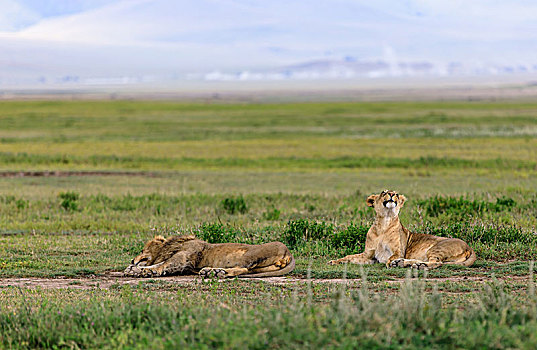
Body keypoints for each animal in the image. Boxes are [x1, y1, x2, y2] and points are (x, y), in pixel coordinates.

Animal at [124, 235, 296, 278]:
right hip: (260, 267)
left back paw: (214, 272)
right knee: (245, 271)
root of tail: (289, 252)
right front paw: (132, 268)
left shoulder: (184, 257)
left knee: (242, 268)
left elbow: (163, 264)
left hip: (250, 254)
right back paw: (213, 271)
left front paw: (141, 270)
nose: (132, 259)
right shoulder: (186, 266)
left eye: (142, 250)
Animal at [326, 190, 474, 270]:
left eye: (396, 194)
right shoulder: (369, 255)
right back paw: (404, 263)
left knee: (437, 262)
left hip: (437, 248)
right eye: (384, 192)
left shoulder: (398, 250)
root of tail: (469, 247)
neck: (384, 224)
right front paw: (334, 261)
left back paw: (414, 265)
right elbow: (350, 257)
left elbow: (391, 257)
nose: (392, 194)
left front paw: (391, 263)